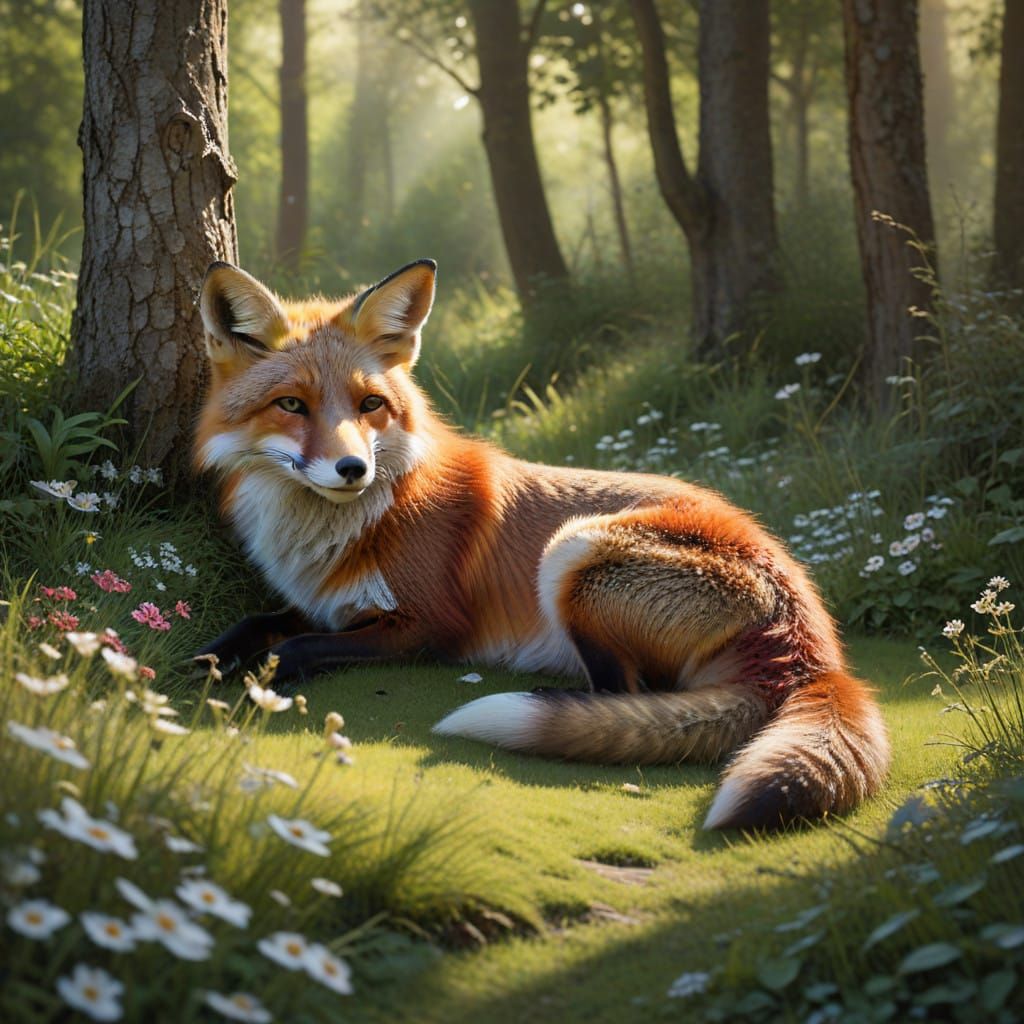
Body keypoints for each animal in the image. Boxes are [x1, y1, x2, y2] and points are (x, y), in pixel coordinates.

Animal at [193, 257, 890, 830]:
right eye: (292, 405)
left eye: (369, 405)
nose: (352, 470)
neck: (354, 524)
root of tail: (813, 644)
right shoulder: (325, 603)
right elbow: (258, 623)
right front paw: (203, 659)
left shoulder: (428, 626)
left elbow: (299, 646)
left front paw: (258, 676)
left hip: (572, 551)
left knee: (624, 701)